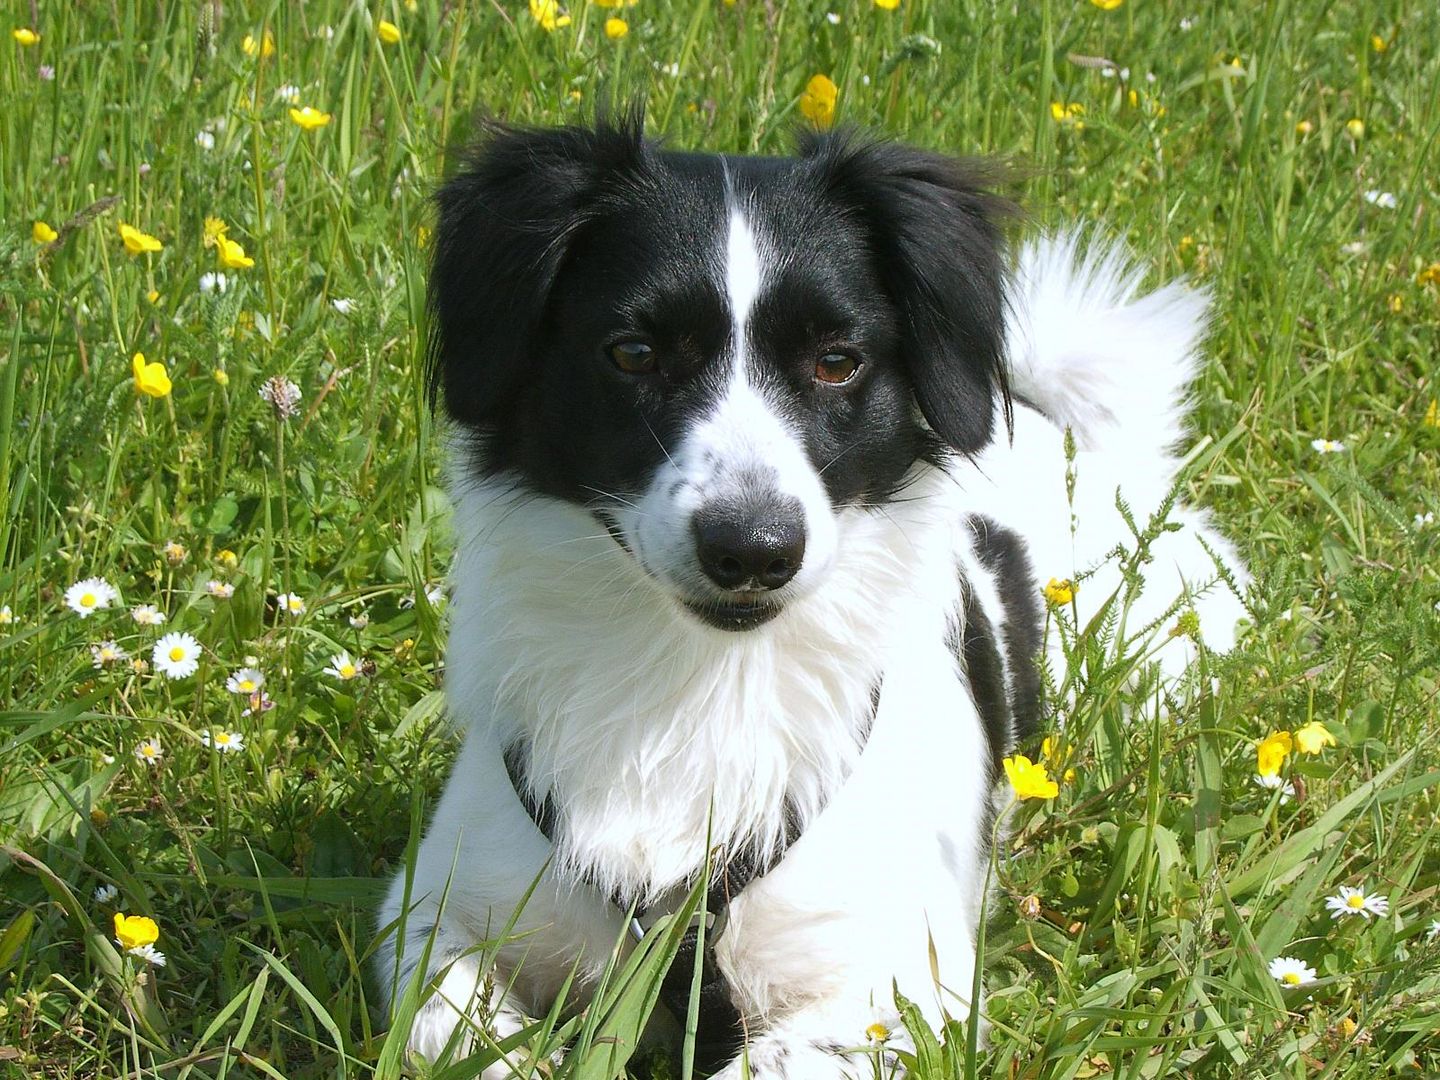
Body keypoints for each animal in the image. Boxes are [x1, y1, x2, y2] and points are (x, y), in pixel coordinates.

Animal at [380, 114, 1249, 1077]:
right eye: (633, 353)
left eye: (837, 362)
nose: (753, 549)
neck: (698, 687)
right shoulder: (437, 910)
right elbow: (447, 1024)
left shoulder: (897, 987)